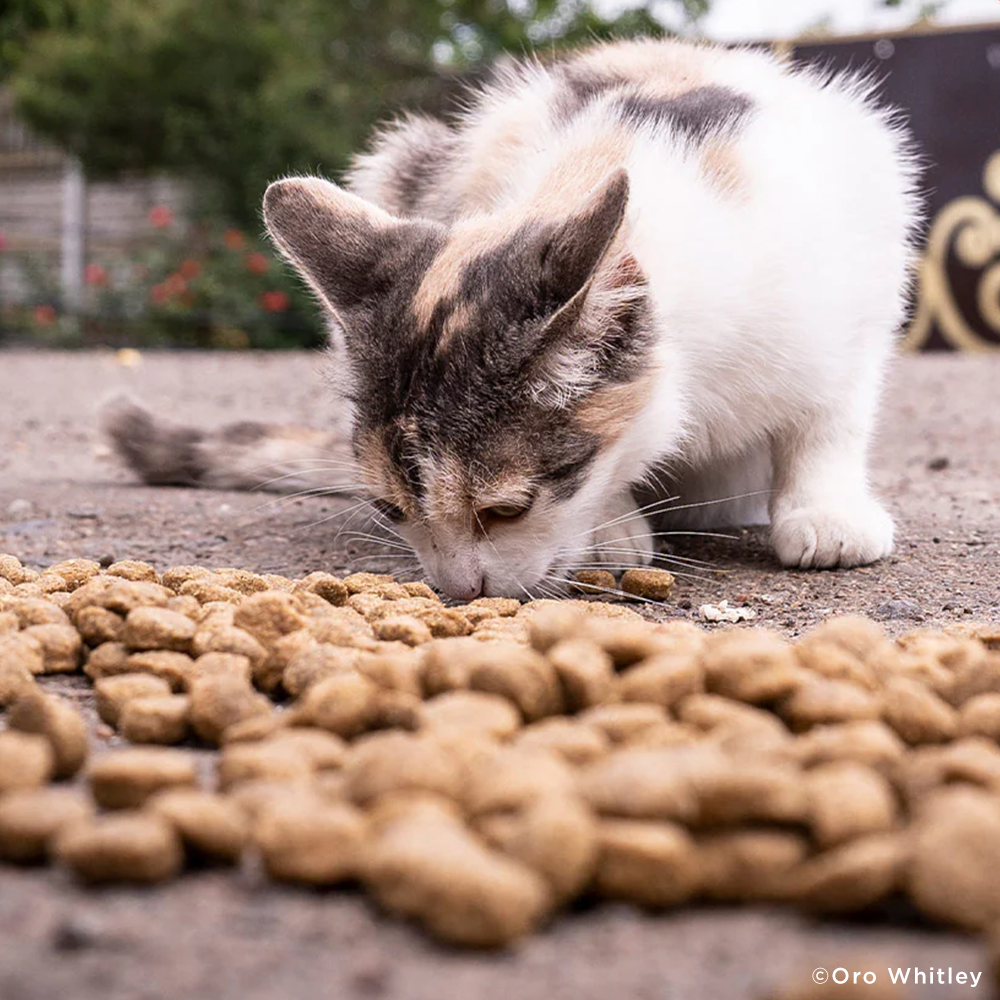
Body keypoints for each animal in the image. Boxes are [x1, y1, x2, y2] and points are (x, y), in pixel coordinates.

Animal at [103, 37, 920, 600]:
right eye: (389, 509)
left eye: (508, 509)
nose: (460, 591)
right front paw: (612, 529)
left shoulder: (861, 261)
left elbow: (832, 413)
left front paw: (826, 513)